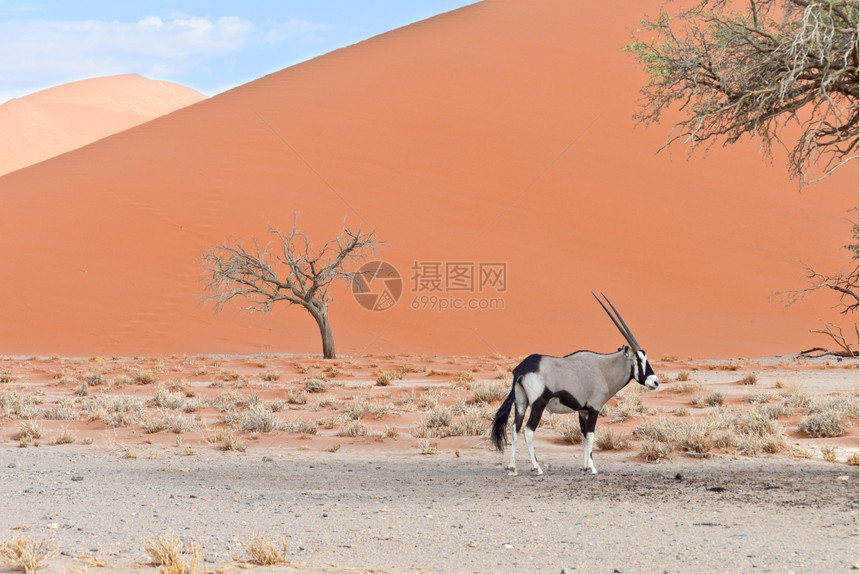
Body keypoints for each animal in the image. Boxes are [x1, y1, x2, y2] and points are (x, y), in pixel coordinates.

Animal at [490, 292, 660, 476]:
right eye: (639, 359)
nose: (655, 381)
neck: (603, 369)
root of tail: (522, 368)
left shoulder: (583, 411)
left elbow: (584, 436)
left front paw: (585, 466)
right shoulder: (594, 408)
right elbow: (591, 435)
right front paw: (592, 468)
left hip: (521, 402)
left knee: (515, 428)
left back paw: (512, 467)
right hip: (538, 404)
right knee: (528, 430)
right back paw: (537, 467)